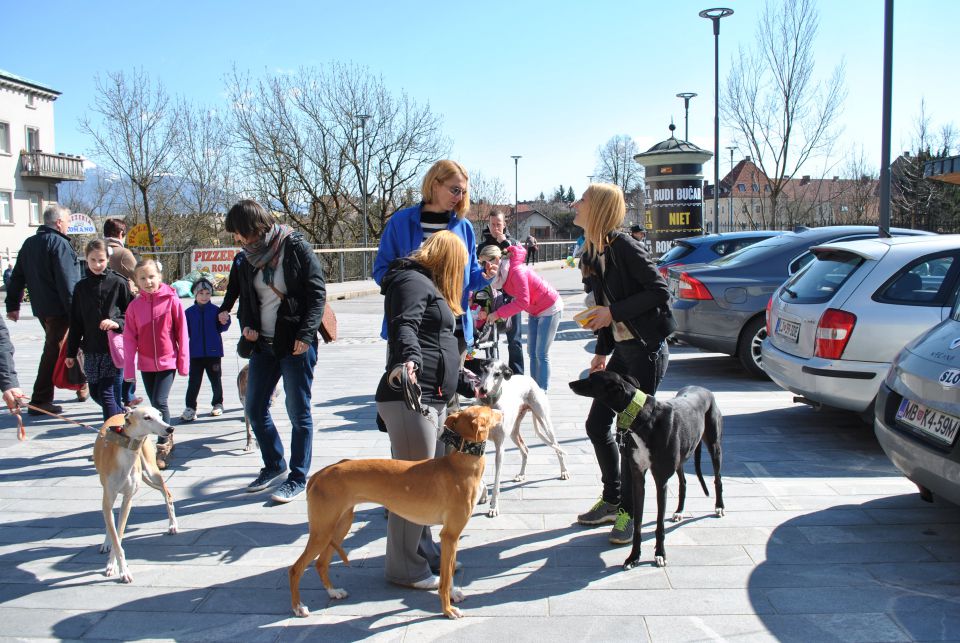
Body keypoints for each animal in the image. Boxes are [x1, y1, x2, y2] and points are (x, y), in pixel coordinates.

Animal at [93, 408, 178, 584]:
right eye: (147, 417)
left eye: (160, 414)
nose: (170, 428)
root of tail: (121, 411)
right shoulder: (108, 497)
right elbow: (114, 533)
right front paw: (114, 564)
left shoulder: (128, 500)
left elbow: (119, 534)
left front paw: (119, 568)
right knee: (109, 518)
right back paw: (106, 542)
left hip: (152, 471)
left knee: (167, 493)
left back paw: (173, 525)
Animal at [286, 406, 498, 620]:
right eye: (490, 411)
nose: (502, 411)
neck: (460, 463)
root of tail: (319, 474)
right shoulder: (450, 535)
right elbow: (445, 581)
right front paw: (448, 610)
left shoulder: (451, 537)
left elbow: (450, 571)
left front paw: (454, 595)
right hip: (322, 531)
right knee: (295, 568)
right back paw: (298, 607)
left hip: (339, 526)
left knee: (321, 563)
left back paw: (333, 592)